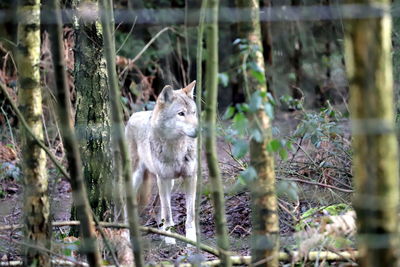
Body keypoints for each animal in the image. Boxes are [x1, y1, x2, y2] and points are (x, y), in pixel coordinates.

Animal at [126, 80, 198, 245]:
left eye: (193, 113)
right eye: (181, 113)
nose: (198, 131)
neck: (176, 148)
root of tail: (134, 115)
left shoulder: (190, 177)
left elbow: (190, 214)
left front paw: (191, 240)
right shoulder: (163, 179)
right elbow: (168, 211)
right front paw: (170, 239)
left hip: (168, 183)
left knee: (155, 208)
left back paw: (161, 232)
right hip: (138, 179)